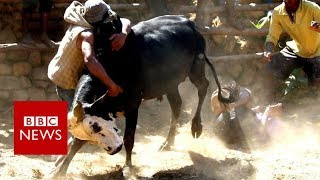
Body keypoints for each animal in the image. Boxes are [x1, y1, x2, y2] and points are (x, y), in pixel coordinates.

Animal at [48, 15, 236, 177]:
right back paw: (167, 143)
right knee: (177, 104)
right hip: (169, 83)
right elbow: (77, 143)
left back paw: (196, 125)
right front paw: (60, 170)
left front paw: (127, 167)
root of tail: (189, 22)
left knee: (203, 86)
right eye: (94, 129)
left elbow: (129, 137)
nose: (115, 149)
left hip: (197, 66)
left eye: (98, 127)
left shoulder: (133, 105)